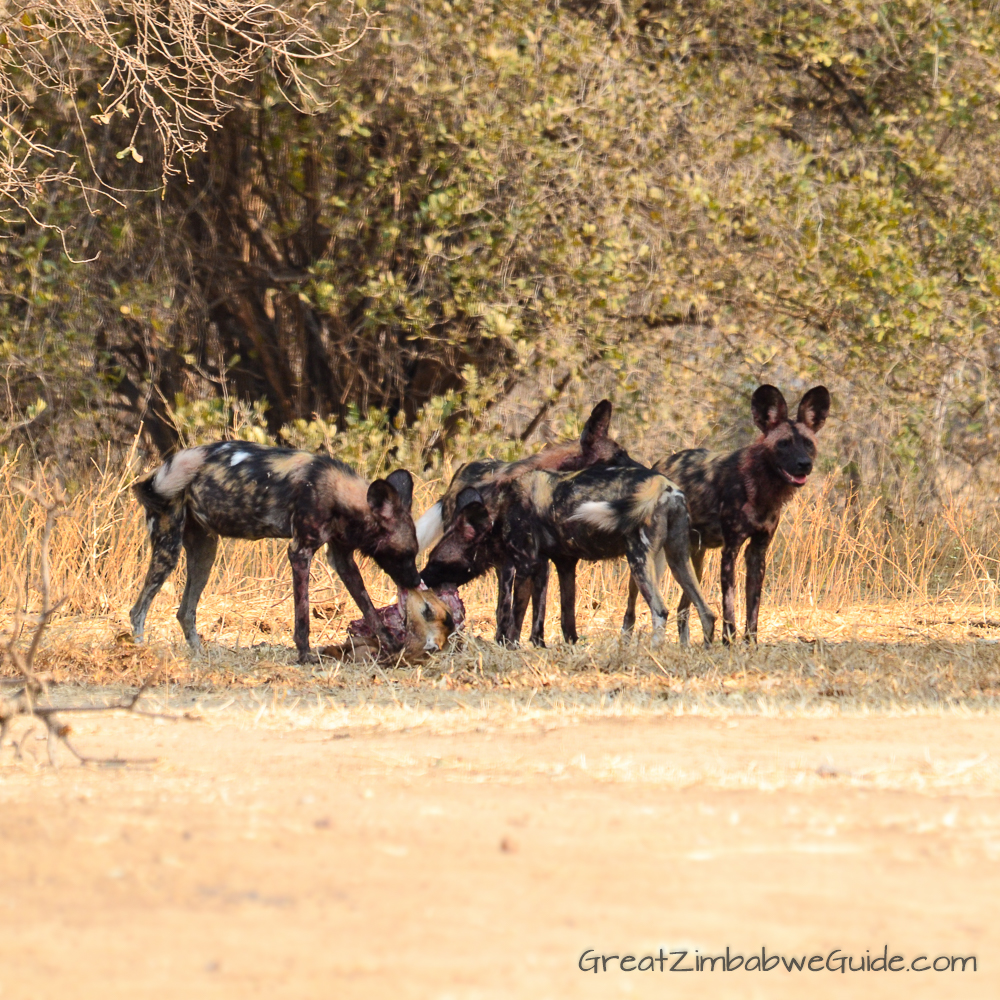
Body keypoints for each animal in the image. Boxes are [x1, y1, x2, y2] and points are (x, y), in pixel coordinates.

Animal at [130, 440, 454, 660]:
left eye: (413, 553)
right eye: (403, 554)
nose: (416, 581)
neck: (338, 494)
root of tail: (155, 473)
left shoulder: (342, 559)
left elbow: (369, 609)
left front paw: (392, 645)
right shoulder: (300, 551)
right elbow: (303, 617)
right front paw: (305, 655)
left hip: (205, 553)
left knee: (185, 612)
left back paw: (200, 654)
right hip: (168, 549)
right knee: (138, 610)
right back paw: (139, 649)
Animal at [418, 466, 716, 648]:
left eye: (435, 561)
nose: (420, 576)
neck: (501, 511)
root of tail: (663, 485)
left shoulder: (524, 566)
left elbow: (514, 616)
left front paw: (510, 648)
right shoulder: (558, 565)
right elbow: (559, 616)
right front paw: (549, 645)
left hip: (640, 563)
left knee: (660, 610)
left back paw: (651, 652)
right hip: (678, 560)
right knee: (707, 612)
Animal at [624, 378, 828, 644]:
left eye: (808, 444)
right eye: (783, 444)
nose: (804, 464)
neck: (760, 487)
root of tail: (658, 465)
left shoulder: (757, 552)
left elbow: (753, 609)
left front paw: (750, 644)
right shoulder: (730, 550)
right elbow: (729, 607)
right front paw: (729, 642)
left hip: (692, 561)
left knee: (684, 609)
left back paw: (687, 647)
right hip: (647, 562)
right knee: (632, 608)